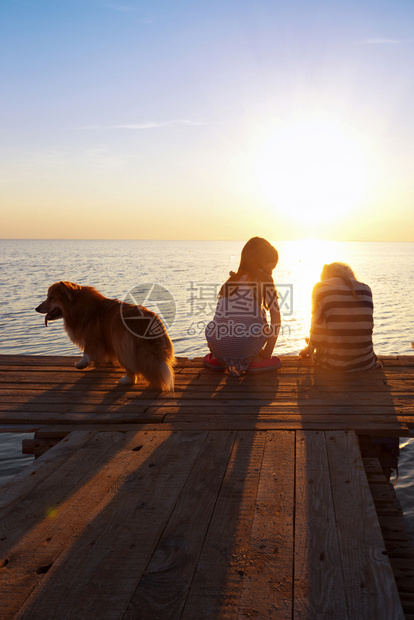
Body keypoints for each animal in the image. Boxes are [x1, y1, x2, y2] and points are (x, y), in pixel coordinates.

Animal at [36, 282, 176, 392]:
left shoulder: (91, 338)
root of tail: (145, 321)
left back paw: (126, 380)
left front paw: (81, 364)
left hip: (121, 343)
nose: (36, 308)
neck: (78, 305)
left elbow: (87, 351)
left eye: (51, 298)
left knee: (130, 366)